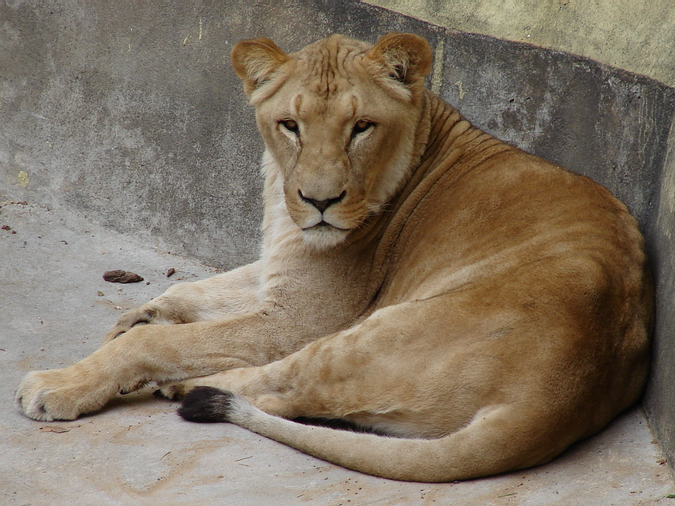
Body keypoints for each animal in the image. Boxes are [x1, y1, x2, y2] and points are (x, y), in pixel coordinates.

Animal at [16, 33, 652, 482]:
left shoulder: (300, 318)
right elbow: (199, 289)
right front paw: (138, 314)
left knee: (282, 387)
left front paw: (68, 380)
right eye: (290, 126)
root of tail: (556, 399)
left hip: (370, 334)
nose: (319, 202)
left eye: (361, 127)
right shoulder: (278, 273)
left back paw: (187, 388)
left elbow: (158, 343)